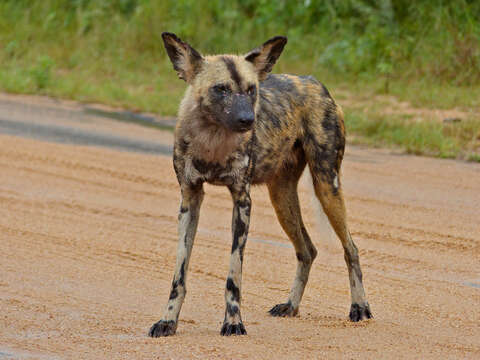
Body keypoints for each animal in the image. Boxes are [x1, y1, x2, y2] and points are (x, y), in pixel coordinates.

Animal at [148, 31, 374, 338]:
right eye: (221, 89)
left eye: (252, 89)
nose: (248, 119)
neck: (212, 141)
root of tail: (315, 82)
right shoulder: (190, 200)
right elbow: (179, 276)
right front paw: (168, 321)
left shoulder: (242, 201)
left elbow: (234, 276)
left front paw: (233, 323)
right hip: (282, 198)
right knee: (307, 250)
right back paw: (291, 305)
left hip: (327, 186)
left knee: (351, 249)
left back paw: (359, 307)